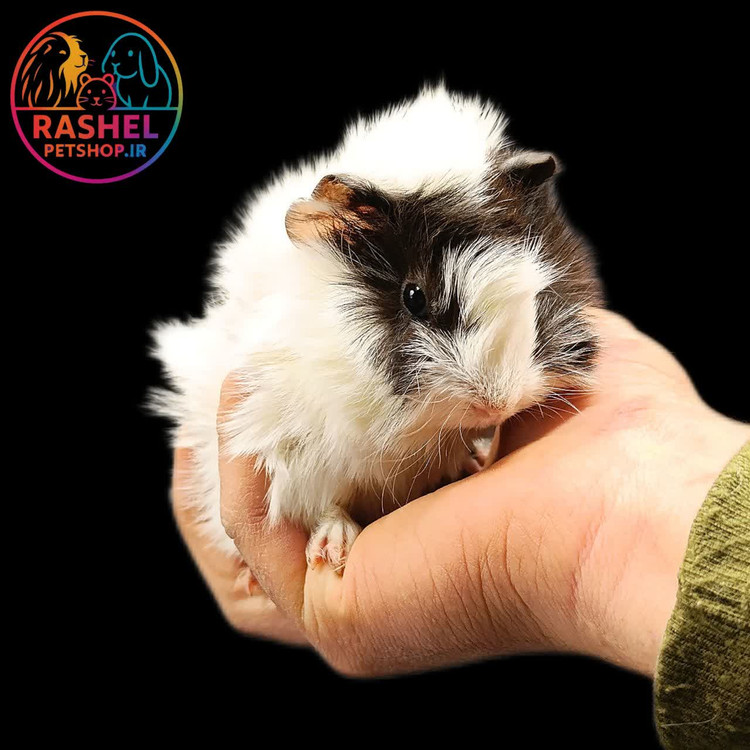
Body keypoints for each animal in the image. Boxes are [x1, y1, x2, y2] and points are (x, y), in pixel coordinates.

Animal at [151, 85, 603, 572]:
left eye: (540, 285)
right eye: (413, 296)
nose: (497, 402)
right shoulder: (291, 452)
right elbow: (325, 506)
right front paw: (331, 552)